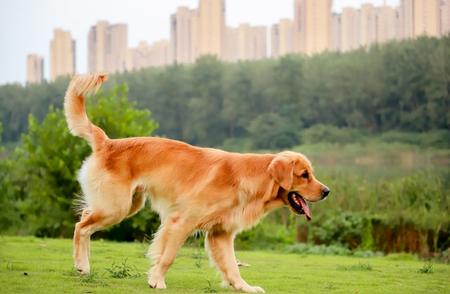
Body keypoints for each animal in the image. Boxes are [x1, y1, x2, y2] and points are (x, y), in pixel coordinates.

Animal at [64, 73, 330, 292]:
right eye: (304, 175)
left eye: (311, 173)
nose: (327, 191)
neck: (249, 179)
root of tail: (107, 142)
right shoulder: (181, 221)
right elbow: (168, 256)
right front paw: (157, 281)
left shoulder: (221, 233)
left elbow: (232, 266)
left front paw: (244, 287)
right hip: (116, 207)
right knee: (80, 226)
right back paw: (82, 265)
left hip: (128, 204)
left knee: (85, 218)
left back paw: (83, 266)